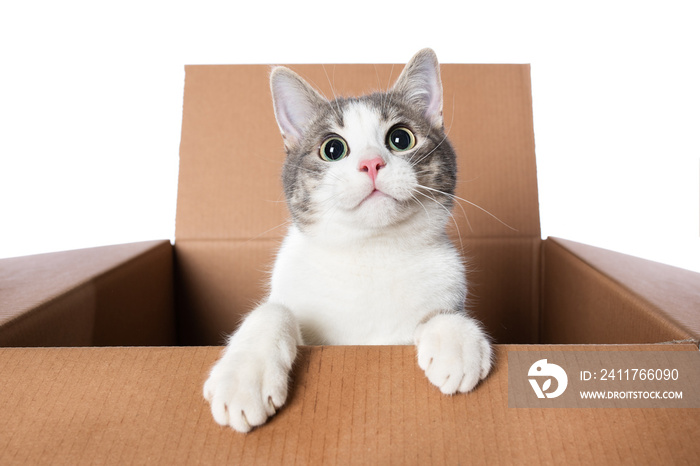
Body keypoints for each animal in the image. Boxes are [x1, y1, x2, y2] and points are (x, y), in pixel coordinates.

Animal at [204, 48, 492, 434]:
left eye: (401, 139)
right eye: (332, 148)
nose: (371, 163)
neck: (369, 253)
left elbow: (441, 313)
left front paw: (456, 340)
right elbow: (275, 309)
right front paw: (243, 379)